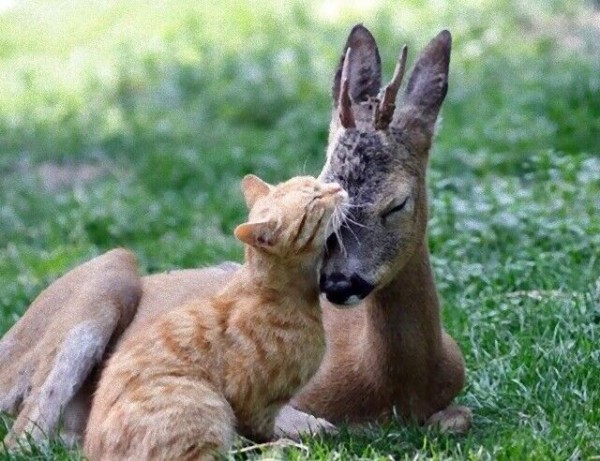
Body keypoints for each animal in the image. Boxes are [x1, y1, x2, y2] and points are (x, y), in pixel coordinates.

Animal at [84, 173, 346, 460]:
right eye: (314, 200)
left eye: (314, 182)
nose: (339, 187)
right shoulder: (252, 403)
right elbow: (260, 433)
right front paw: (280, 444)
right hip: (204, 403)